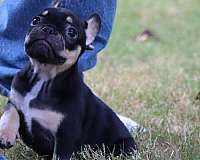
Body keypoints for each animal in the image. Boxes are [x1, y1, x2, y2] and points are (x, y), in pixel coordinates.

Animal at [0, 6, 137, 159]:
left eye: (72, 32)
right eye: (35, 20)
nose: (48, 28)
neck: (43, 75)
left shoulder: (65, 135)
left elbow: (60, 155)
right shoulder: (15, 97)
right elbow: (10, 111)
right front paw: (5, 134)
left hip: (123, 147)